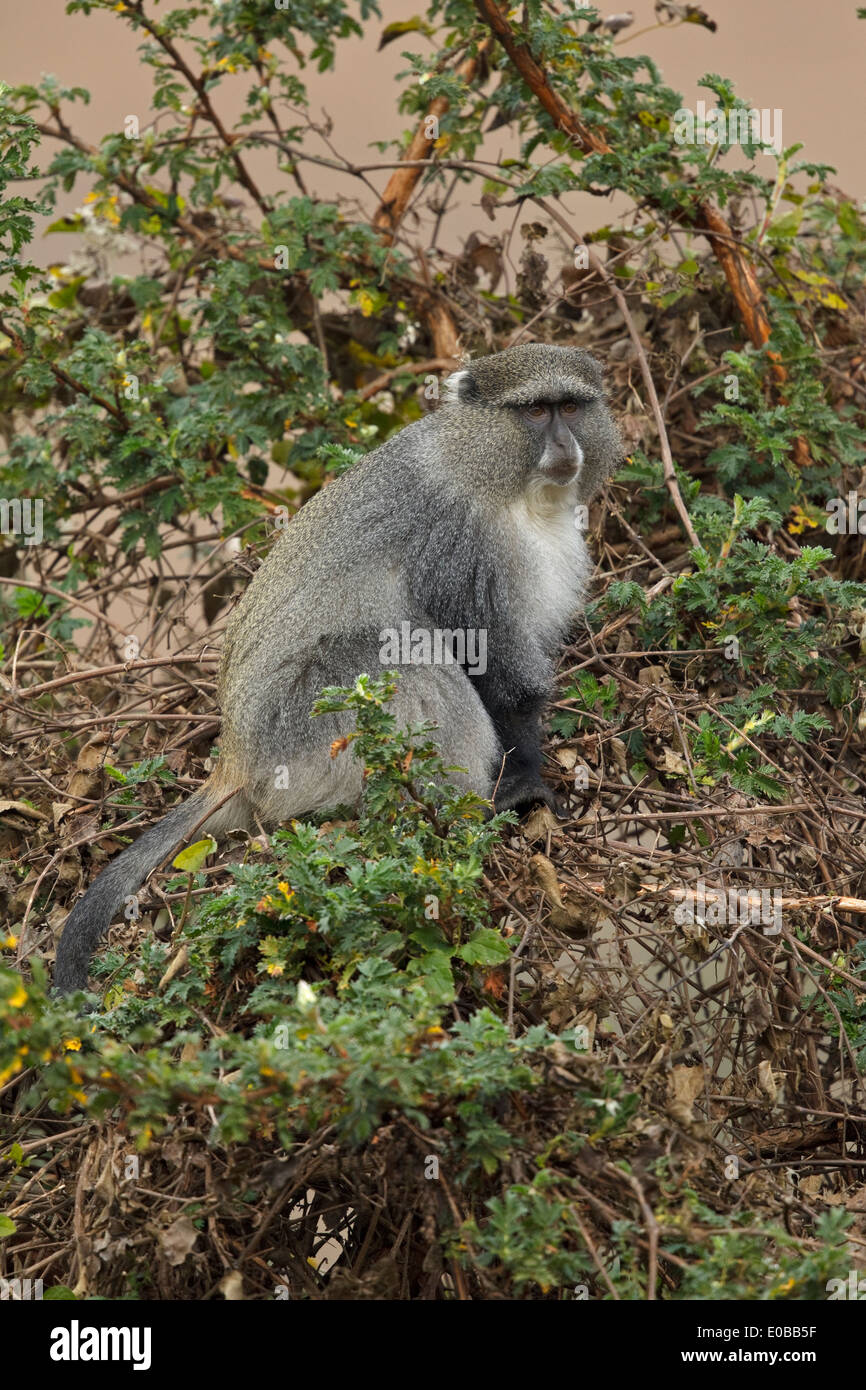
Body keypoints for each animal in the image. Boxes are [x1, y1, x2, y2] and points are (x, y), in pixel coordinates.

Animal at [54, 341, 622, 995]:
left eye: (570, 406)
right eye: (534, 412)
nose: (565, 447)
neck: (493, 476)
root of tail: (236, 761)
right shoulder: (460, 547)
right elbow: (498, 673)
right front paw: (526, 784)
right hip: (301, 737)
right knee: (400, 655)